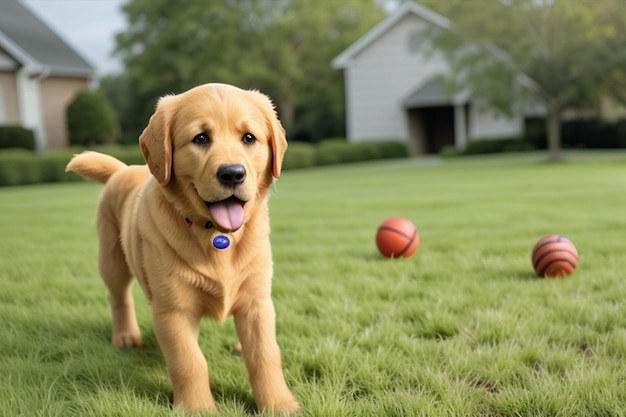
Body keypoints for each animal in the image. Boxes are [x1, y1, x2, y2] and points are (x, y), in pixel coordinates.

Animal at [65, 83, 298, 412]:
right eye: (200, 138)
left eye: (249, 138)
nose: (232, 173)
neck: (216, 236)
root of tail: (122, 170)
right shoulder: (173, 308)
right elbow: (188, 361)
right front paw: (197, 408)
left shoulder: (257, 300)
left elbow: (265, 354)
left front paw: (279, 404)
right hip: (111, 258)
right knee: (119, 296)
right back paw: (125, 336)